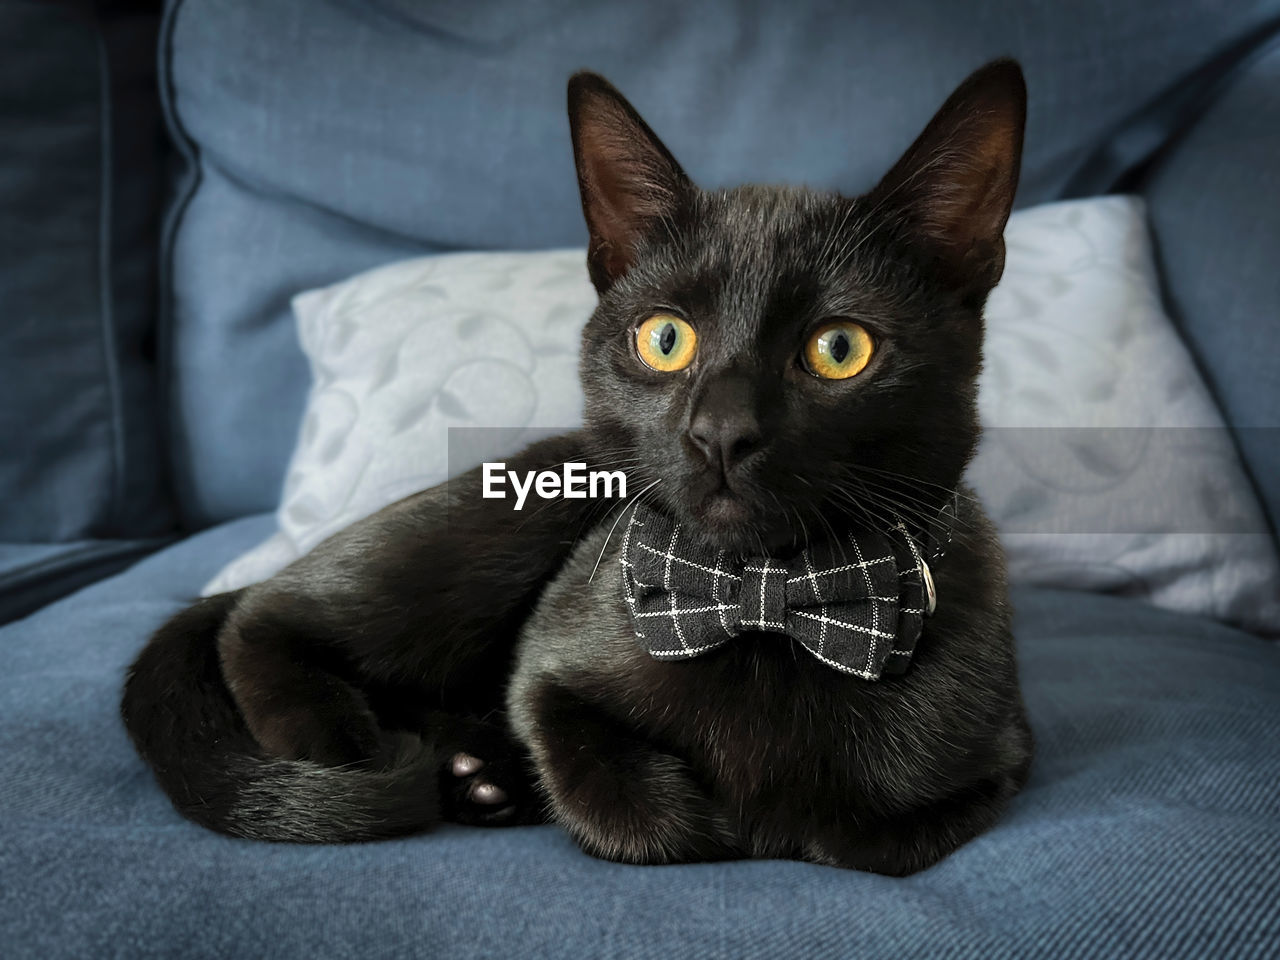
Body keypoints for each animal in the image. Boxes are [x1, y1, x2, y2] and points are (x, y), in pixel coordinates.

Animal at [124, 56, 1034, 875]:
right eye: (665, 338)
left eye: (840, 349)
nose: (722, 432)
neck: (766, 601)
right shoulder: (551, 665)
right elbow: (626, 798)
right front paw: (720, 818)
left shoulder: (1001, 754)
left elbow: (872, 835)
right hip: (504, 521)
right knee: (264, 617)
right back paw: (362, 738)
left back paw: (478, 773)